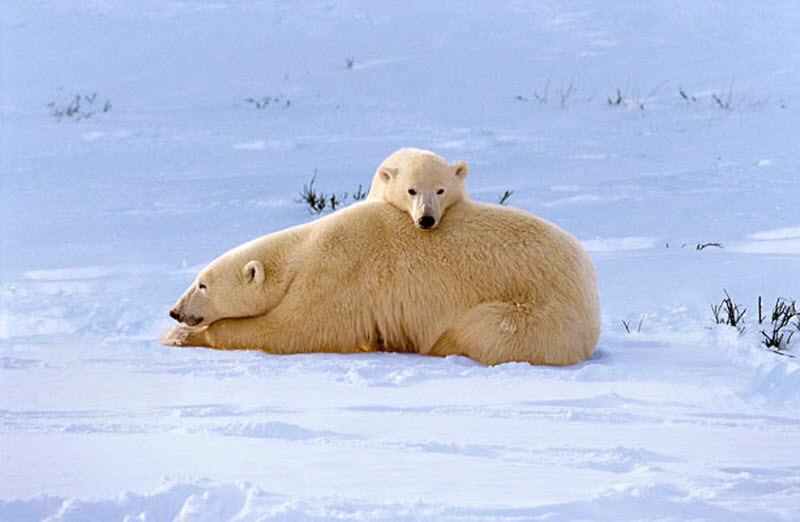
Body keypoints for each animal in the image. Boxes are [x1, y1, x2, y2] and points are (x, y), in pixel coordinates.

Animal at [161, 199, 600, 366]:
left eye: (202, 284)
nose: (175, 311)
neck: (304, 250)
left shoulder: (340, 271)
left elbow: (297, 329)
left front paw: (183, 338)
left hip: (534, 309)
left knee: (485, 329)